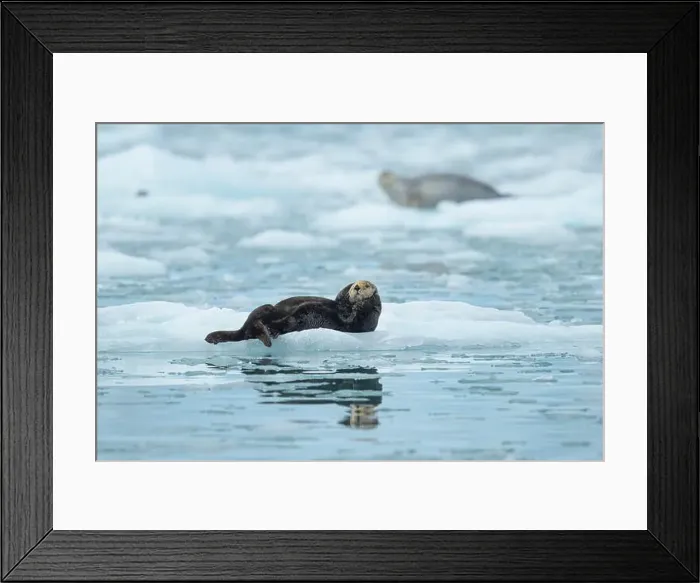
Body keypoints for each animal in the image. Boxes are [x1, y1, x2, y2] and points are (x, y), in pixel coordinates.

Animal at [204, 280, 382, 347]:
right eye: (355, 286)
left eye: (366, 286)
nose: (357, 287)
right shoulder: (339, 302)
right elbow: (340, 298)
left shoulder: (363, 319)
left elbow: (355, 318)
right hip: (266, 308)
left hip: (289, 321)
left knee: (256, 330)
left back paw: (268, 335)